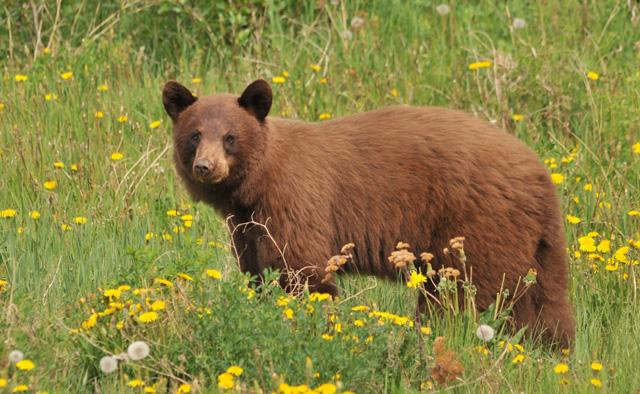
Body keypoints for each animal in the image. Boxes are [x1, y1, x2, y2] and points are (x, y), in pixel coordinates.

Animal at [164, 78, 576, 346]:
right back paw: (552, 352)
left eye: (230, 137)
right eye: (195, 135)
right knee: (548, 301)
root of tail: (539, 174)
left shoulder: (295, 202)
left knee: (462, 295)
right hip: (540, 241)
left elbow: (301, 270)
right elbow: (257, 271)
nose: (205, 166)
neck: (257, 183)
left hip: (476, 226)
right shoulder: (247, 224)